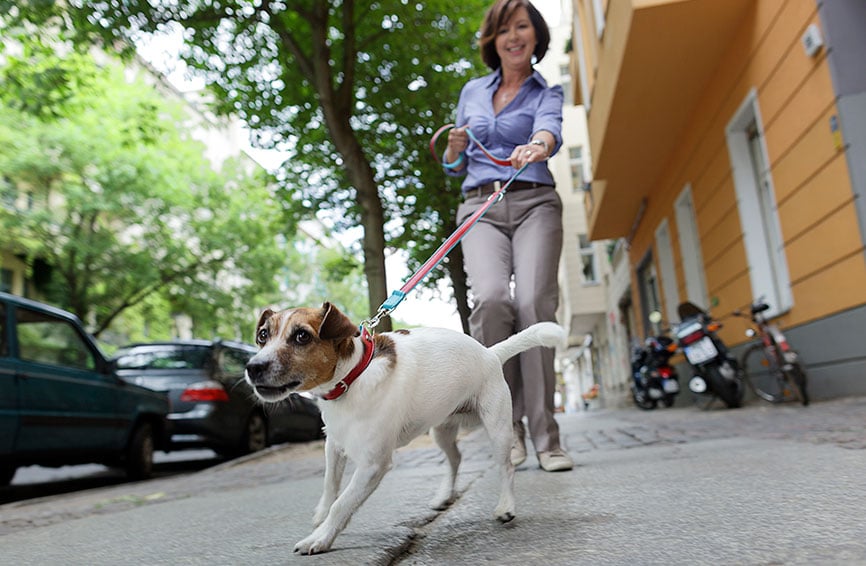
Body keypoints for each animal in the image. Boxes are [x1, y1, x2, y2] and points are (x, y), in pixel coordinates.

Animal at [245, 304, 560, 556]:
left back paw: (506, 507)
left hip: (497, 427)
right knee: (455, 458)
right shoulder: (333, 445)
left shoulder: (373, 465)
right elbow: (329, 485)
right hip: (441, 430)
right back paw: (444, 495)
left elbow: (343, 503)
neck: (352, 379)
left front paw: (320, 538)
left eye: (302, 336)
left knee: (506, 467)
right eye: (263, 335)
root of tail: (490, 353)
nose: (252, 367)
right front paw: (321, 516)